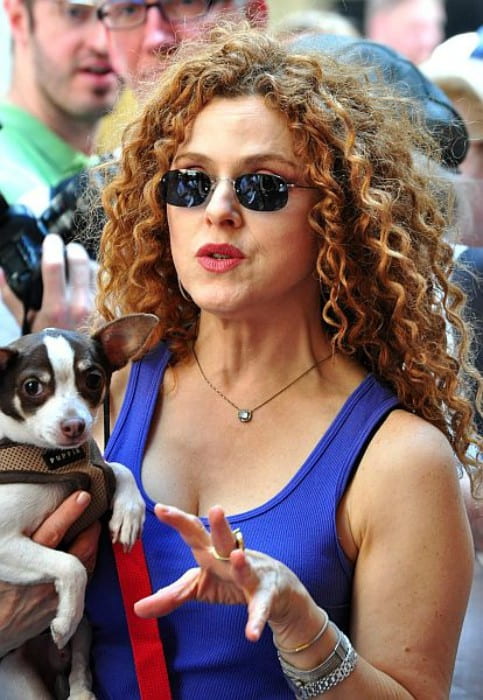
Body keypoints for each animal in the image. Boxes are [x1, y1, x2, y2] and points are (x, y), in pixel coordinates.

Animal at [0, 314, 159, 696]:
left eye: (93, 379)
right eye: (32, 387)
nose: (75, 425)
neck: (53, 461)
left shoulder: (97, 470)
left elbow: (116, 468)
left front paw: (129, 513)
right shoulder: (4, 544)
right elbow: (71, 565)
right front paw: (64, 619)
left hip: (86, 634)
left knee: (82, 658)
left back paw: (82, 692)